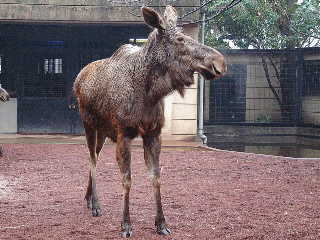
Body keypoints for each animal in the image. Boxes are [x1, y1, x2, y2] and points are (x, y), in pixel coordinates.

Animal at [74, 4, 226, 237]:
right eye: (179, 39)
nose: (220, 62)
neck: (150, 93)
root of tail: (78, 79)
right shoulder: (124, 133)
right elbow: (127, 179)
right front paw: (126, 224)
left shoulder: (153, 133)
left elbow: (156, 177)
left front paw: (161, 223)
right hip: (88, 124)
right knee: (92, 159)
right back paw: (96, 204)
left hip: (102, 131)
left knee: (95, 157)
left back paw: (89, 198)